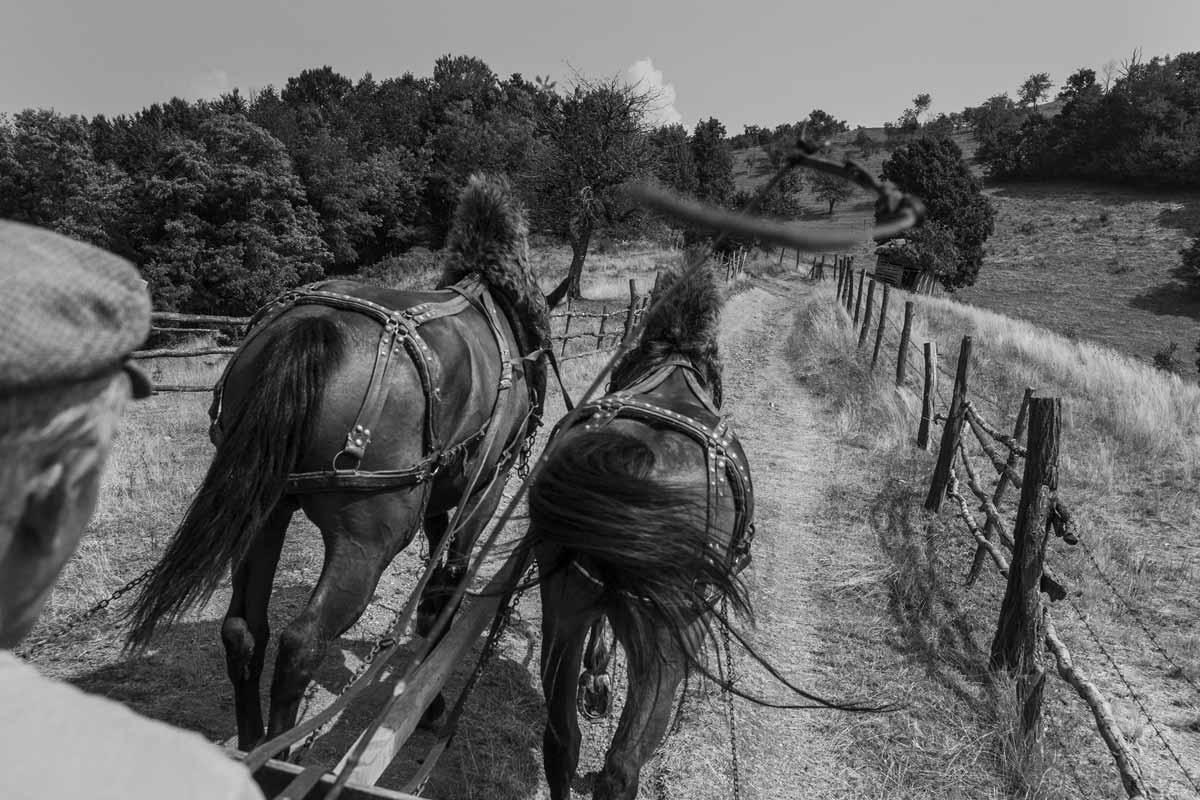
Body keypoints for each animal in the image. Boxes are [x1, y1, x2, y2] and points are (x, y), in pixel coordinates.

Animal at [124, 175, 564, 753]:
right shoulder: (486, 487)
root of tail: (310, 325)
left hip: (265, 515)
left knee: (243, 631)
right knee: (302, 643)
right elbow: (446, 587)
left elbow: (431, 590)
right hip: (367, 541)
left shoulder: (443, 492)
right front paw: (427, 701)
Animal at [523, 267, 753, 800]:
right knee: (622, 766)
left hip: (562, 600)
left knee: (561, 740)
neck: (673, 372)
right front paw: (599, 680)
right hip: (670, 636)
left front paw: (596, 680)